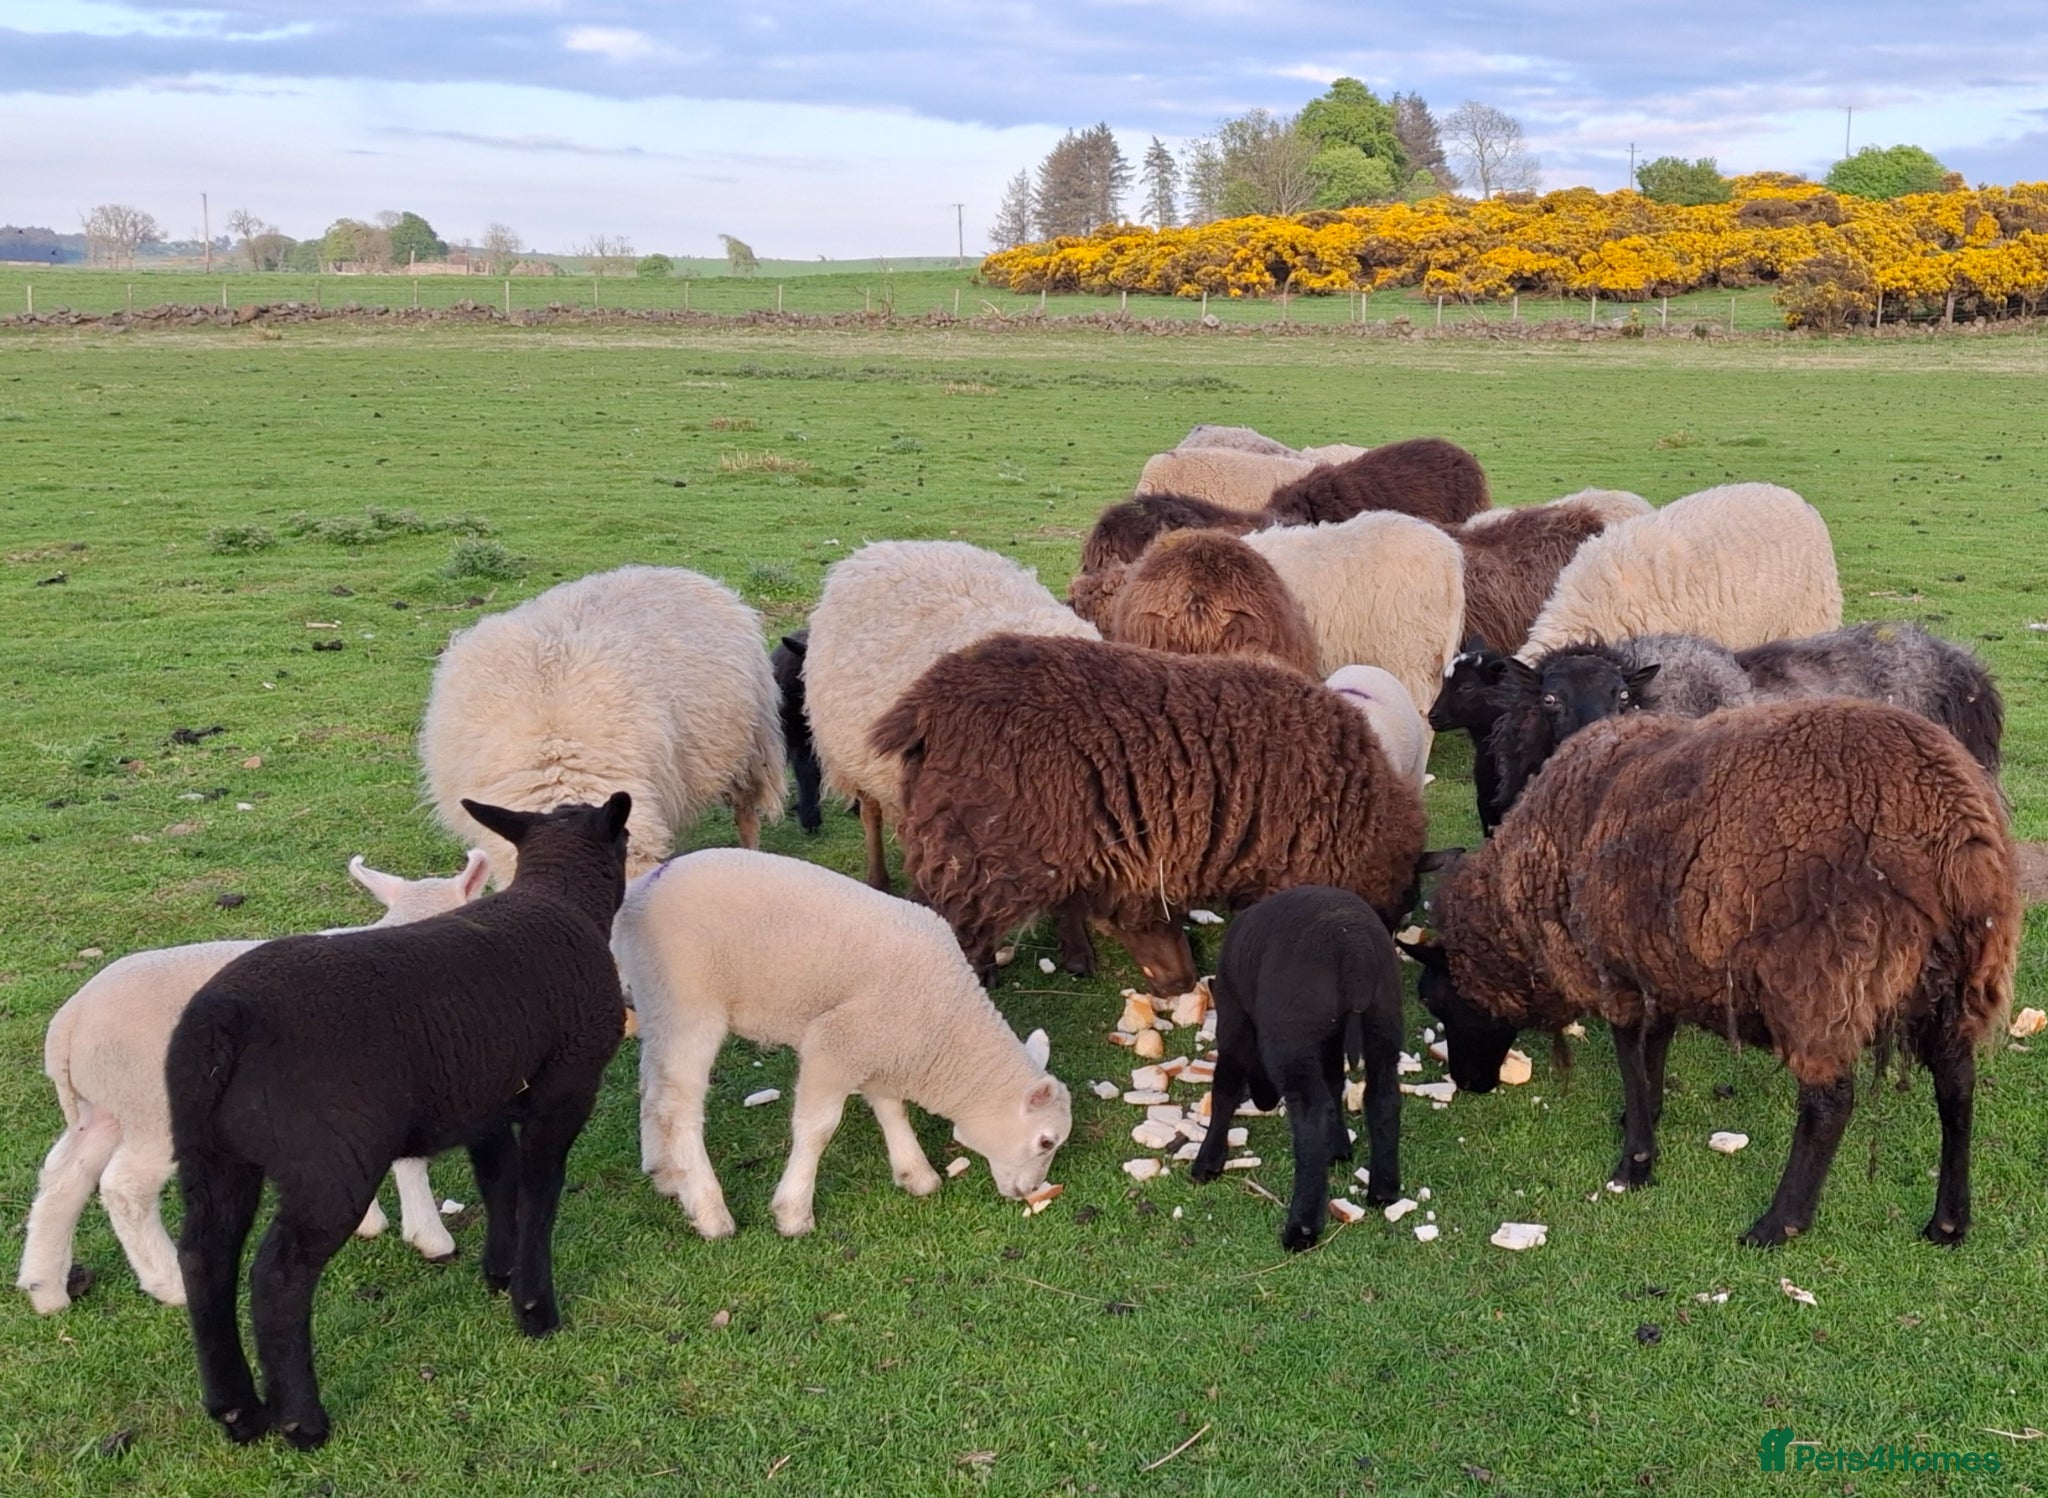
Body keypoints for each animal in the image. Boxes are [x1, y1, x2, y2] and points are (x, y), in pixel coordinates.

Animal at [16, 852, 489, 1316]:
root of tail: (70, 1022)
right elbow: (410, 1162)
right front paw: (431, 1237)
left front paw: (370, 1221)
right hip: (153, 1102)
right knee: (124, 1187)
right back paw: (171, 1284)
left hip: (107, 1105)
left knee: (64, 1177)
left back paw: (46, 1289)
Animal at [168, 795, 631, 1449]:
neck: (562, 900)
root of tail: (225, 1017)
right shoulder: (564, 1090)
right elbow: (539, 1194)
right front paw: (534, 1309)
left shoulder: (483, 1100)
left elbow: (501, 1184)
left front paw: (498, 1271)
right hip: (329, 1161)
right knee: (277, 1275)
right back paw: (301, 1422)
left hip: (211, 1155)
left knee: (204, 1259)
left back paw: (237, 1411)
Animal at [614, 849, 1072, 1239]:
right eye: (1046, 1142)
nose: (1028, 1191)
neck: (945, 1031)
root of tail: (639, 893)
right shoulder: (836, 1041)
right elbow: (817, 1130)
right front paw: (793, 1213)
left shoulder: (878, 1045)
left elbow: (891, 1108)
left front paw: (915, 1172)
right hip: (690, 1002)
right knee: (679, 1108)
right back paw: (709, 1211)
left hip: (657, 1002)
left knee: (653, 1088)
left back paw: (666, 1174)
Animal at [1192, 886, 1406, 1250]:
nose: (1264, 1102)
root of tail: (1354, 950)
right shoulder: (1329, 1040)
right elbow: (1334, 1081)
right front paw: (1338, 1146)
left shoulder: (1234, 1020)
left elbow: (1226, 1086)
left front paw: (1208, 1160)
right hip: (1383, 1021)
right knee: (1383, 1097)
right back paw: (1383, 1190)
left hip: (1291, 1037)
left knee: (1310, 1114)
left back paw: (1301, 1227)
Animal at [1404, 699, 2019, 1246]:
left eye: (1436, 1000)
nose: (1468, 1083)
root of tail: (1952, 821)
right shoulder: (1656, 964)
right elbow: (1653, 1053)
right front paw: (1641, 1117)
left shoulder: (1616, 972)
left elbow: (1631, 1057)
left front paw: (1635, 1163)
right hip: (1958, 980)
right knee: (1956, 1085)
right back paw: (1948, 1222)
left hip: (1823, 974)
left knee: (1831, 1102)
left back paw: (1780, 1223)